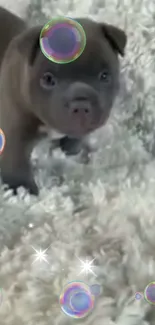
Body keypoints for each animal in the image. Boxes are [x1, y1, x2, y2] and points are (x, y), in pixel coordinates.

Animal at [0, 7, 126, 194]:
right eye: (48, 79)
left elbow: (74, 139)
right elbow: (16, 166)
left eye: (104, 76)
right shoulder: (14, 135)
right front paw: (25, 192)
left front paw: (72, 150)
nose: (80, 103)